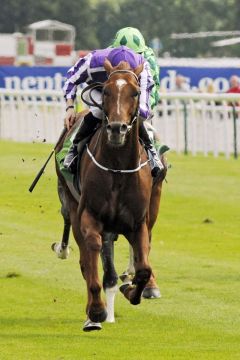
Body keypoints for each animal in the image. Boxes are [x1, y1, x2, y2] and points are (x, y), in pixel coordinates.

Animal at [54, 59, 167, 332]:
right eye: (105, 91)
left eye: (135, 93)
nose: (117, 129)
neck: (117, 168)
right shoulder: (90, 217)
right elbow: (92, 258)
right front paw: (96, 310)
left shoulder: (138, 222)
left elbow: (143, 267)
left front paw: (131, 289)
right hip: (72, 205)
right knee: (86, 259)